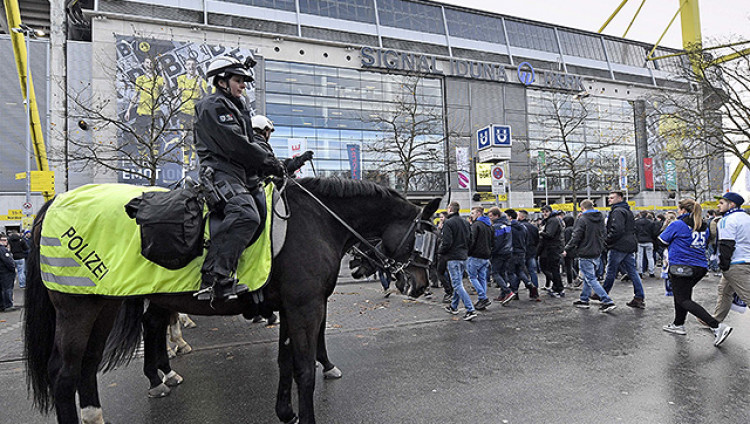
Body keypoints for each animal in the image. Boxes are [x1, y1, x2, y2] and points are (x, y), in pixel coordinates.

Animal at [26, 177, 444, 422]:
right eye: (423, 235)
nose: (420, 283)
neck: (316, 220)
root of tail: (55, 203)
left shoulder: (291, 309)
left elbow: (286, 363)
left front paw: (285, 411)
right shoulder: (306, 308)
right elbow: (304, 371)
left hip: (104, 303)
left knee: (91, 361)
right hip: (78, 308)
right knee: (64, 373)